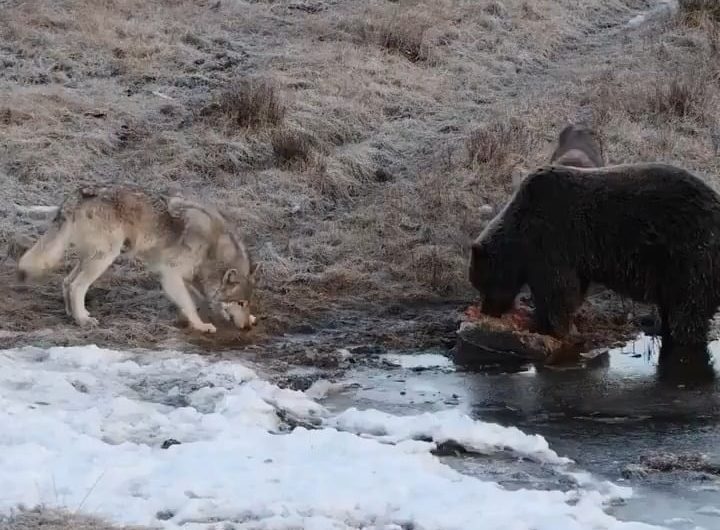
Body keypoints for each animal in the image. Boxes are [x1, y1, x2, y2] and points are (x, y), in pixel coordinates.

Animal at [17, 185, 258, 333]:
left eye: (247, 303)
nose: (247, 328)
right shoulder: (170, 274)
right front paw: (201, 325)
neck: (212, 246)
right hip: (105, 258)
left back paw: (76, 314)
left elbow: (193, 299)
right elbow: (189, 304)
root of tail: (78, 194)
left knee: (67, 281)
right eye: (240, 302)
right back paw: (83, 321)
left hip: (91, 258)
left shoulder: (189, 276)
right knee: (76, 285)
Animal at [468, 162, 720, 372]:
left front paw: (544, 325)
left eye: (481, 284)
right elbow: (573, 289)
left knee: (688, 309)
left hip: (688, 253)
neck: (519, 238)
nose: (487, 310)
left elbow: (556, 290)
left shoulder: (551, 240)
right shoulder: (571, 255)